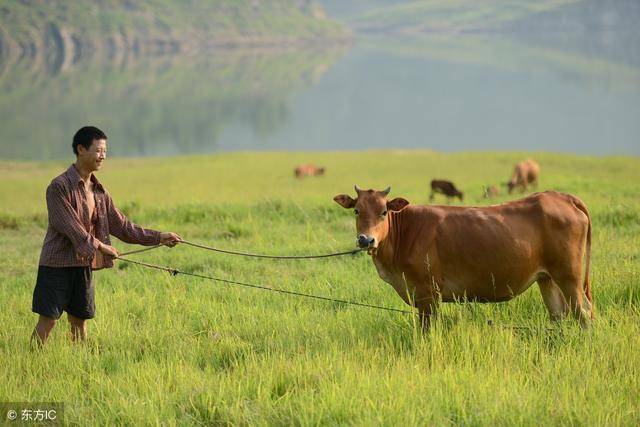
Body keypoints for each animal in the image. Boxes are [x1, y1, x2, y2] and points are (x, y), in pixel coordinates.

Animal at [336, 186, 596, 332]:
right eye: (357, 210)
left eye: (383, 211)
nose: (366, 240)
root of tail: (562, 197)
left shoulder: (427, 293)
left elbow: (427, 331)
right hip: (547, 279)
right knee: (559, 314)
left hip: (569, 277)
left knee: (584, 314)